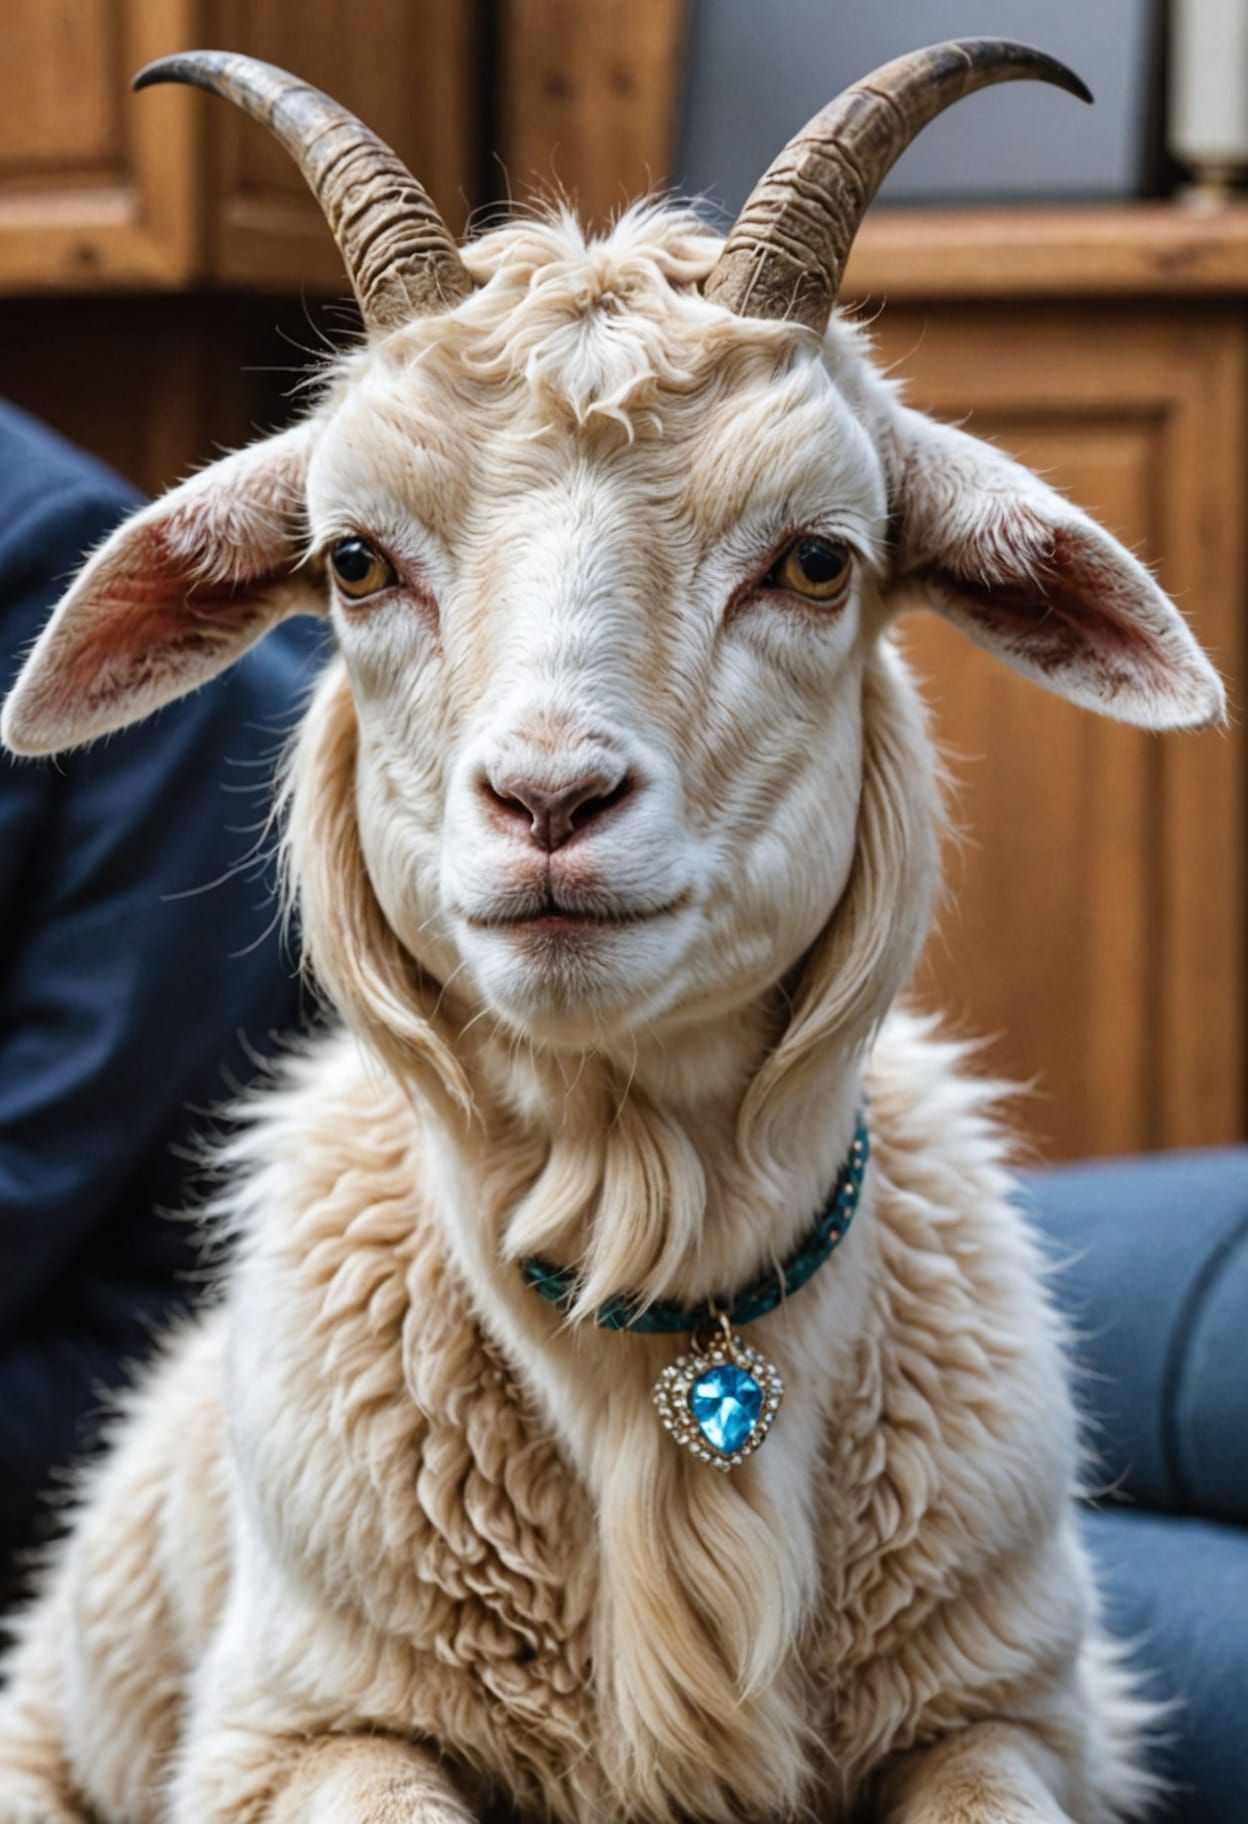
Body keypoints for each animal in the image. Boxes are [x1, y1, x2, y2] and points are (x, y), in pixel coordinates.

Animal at [0, 39, 1223, 1824]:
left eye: (817, 560)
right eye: (354, 560)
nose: (550, 801)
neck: (660, 1258)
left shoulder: (1014, 1712)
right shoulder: (299, 1727)